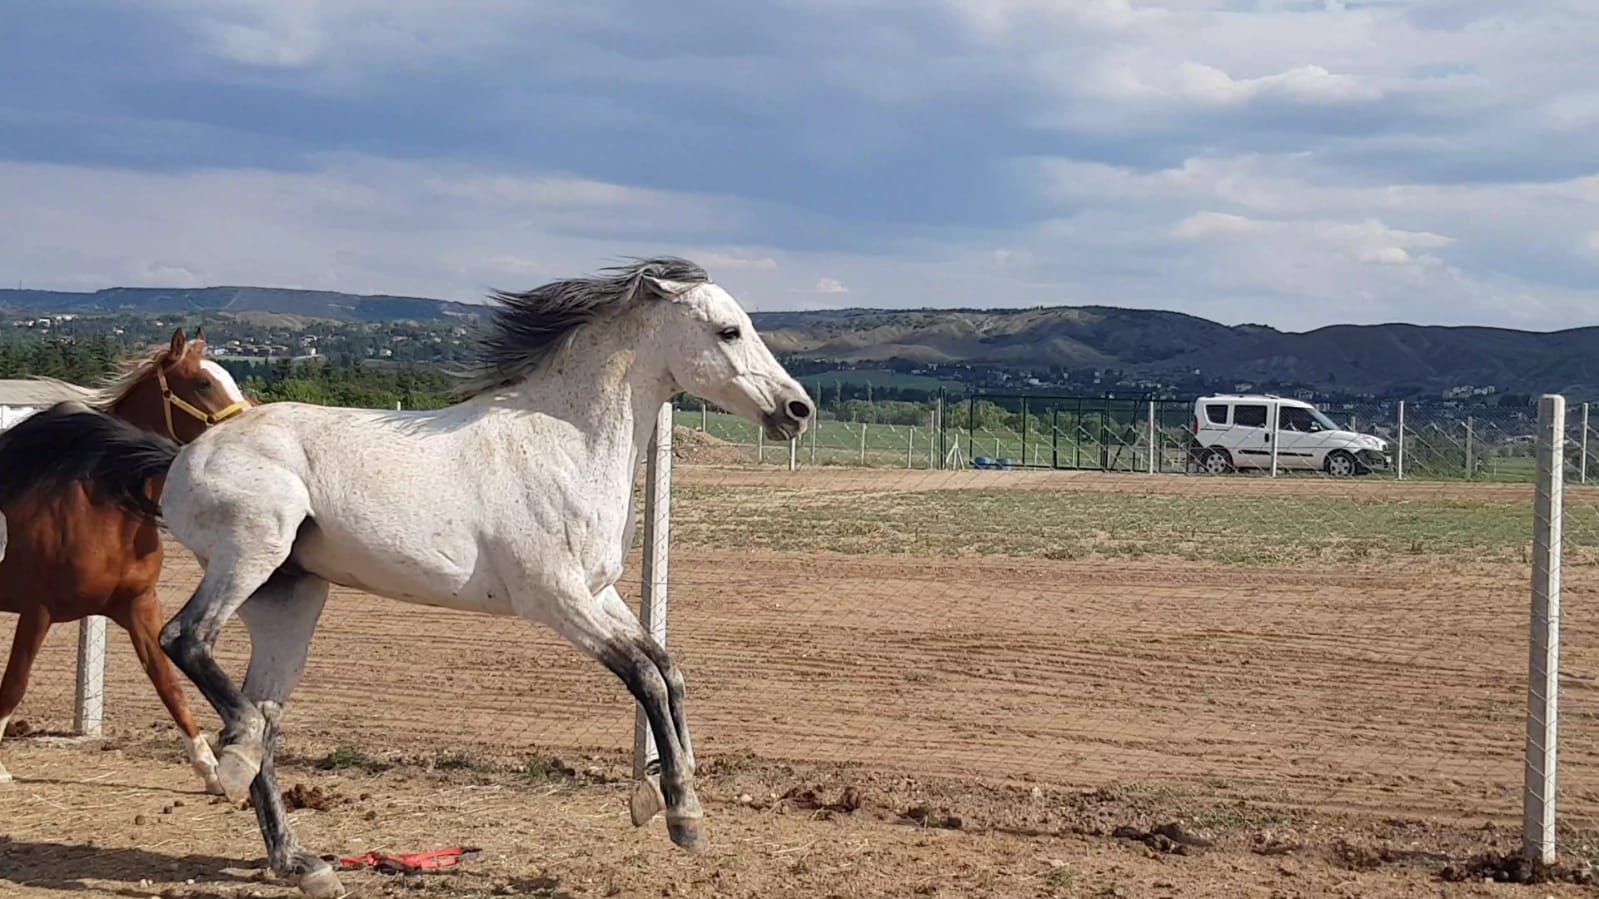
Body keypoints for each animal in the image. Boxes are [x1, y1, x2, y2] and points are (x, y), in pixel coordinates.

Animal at [0, 324, 251, 787]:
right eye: (203, 383)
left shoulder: (138, 606)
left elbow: (168, 683)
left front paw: (211, 772)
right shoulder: (37, 611)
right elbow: (15, 685)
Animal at [135, 255, 812, 889]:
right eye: (729, 331)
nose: (798, 409)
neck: (567, 444)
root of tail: (184, 458)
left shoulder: (600, 593)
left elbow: (669, 672)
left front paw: (669, 796)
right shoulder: (556, 599)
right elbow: (644, 676)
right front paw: (680, 815)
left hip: (289, 598)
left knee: (265, 711)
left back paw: (299, 859)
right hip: (251, 554)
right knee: (186, 639)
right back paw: (234, 761)